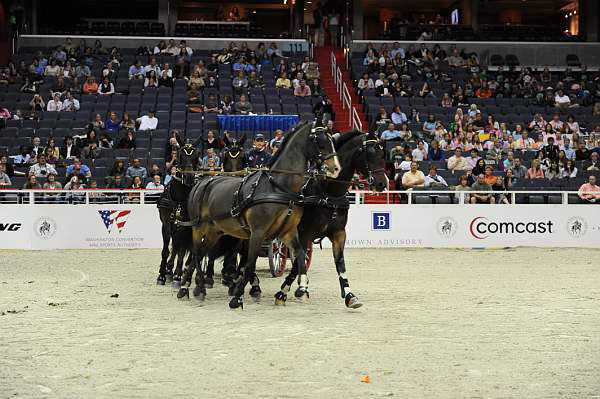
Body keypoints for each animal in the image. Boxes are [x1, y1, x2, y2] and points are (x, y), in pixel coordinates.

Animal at [156, 145, 200, 286]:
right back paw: (170, 270)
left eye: (196, 157)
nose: (189, 177)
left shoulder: (185, 226)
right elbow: (167, 250)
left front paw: (178, 275)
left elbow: (181, 250)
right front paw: (162, 275)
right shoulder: (166, 224)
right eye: (180, 156)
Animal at [183, 122, 340, 310]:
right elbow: (249, 265)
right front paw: (237, 297)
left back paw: (192, 288)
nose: (336, 168)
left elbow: (301, 255)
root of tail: (202, 182)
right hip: (199, 227)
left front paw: (302, 287)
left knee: (202, 253)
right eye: (320, 143)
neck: (278, 187)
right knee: (197, 253)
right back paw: (195, 287)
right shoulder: (257, 232)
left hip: (215, 231)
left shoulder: (288, 232)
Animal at [274, 131, 390, 310]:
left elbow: (340, 263)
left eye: (382, 154)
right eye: (369, 153)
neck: (328, 193)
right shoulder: (305, 233)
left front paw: (350, 295)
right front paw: (284, 292)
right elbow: (298, 262)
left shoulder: (339, 233)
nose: (381, 183)